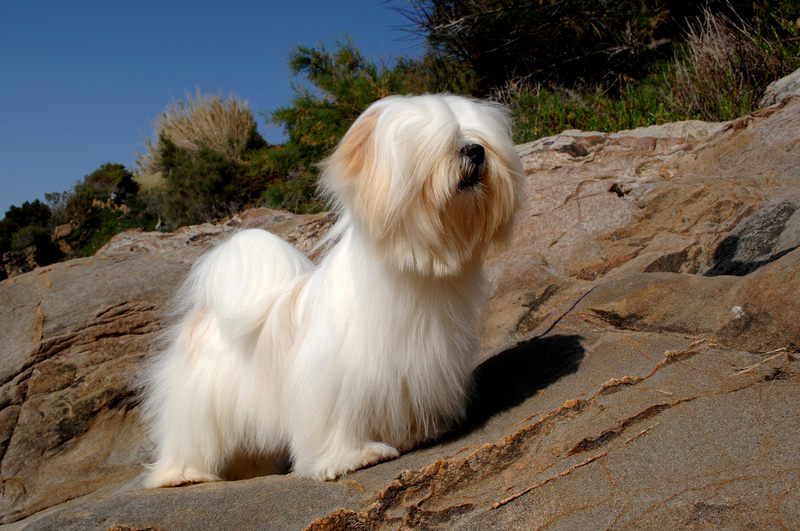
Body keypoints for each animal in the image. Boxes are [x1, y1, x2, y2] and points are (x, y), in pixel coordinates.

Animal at [141, 93, 520, 488]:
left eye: (479, 140)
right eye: (440, 145)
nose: (475, 151)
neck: (416, 273)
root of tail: (207, 311)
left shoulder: (413, 369)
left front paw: (413, 434)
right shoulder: (333, 379)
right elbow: (336, 420)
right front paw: (353, 457)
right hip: (196, 404)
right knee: (188, 439)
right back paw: (181, 475)